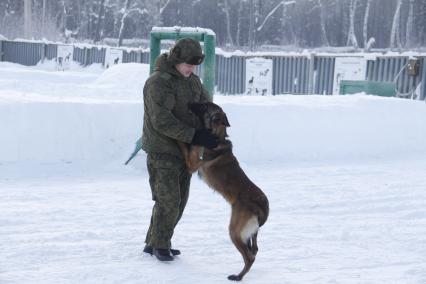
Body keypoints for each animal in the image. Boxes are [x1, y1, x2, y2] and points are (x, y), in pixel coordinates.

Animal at [178, 102, 268, 282]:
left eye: (205, 106)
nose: (189, 103)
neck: (216, 136)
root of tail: (262, 207)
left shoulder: (191, 164)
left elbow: (183, 144)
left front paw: (176, 138)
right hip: (248, 233)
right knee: (254, 250)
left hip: (234, 231)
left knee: (249, 257)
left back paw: (238, 276)